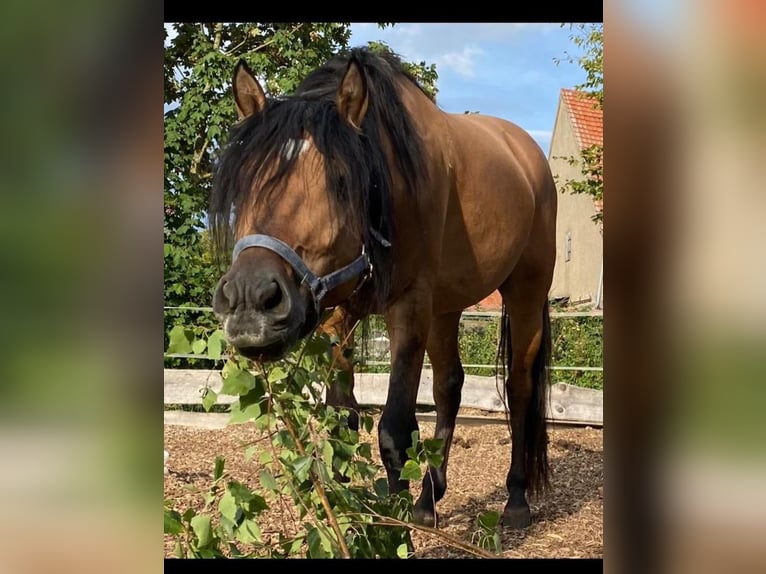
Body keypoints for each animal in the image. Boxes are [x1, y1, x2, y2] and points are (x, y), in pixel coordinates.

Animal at [209, 47, 556, 530]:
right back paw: (429, 498)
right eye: (244, 182)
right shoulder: (337, 316)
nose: (249, 302)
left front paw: (396, 526)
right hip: (445, 308)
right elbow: (342, 420)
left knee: (521, 387)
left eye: (340, 180)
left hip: (525, 290)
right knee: (449, 386)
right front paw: (348, 517)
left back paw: (516, 499)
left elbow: (395, 430)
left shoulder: (408, 309)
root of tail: (527, 154)